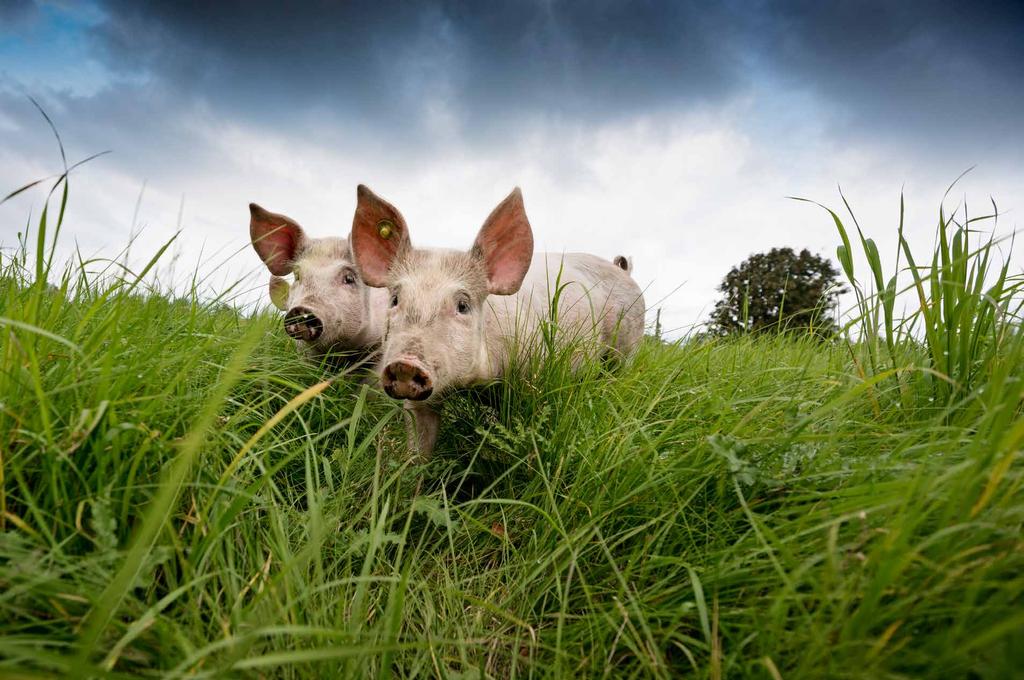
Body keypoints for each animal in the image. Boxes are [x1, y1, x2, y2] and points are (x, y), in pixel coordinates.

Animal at [348, 184, 643, 456]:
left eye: (463, 305)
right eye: (395, 299)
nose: (405, 364)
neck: (473, 385)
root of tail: (624, 272)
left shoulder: (531, 380)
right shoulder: (420, 402)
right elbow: (419, 445)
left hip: (626, 350)